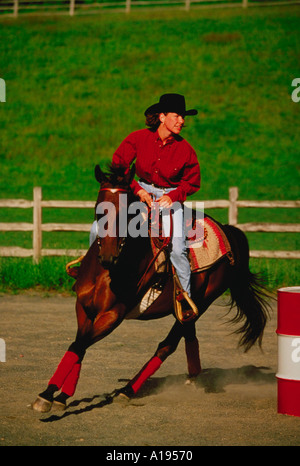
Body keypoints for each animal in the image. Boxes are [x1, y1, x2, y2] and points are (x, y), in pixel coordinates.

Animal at [31, 164, 270, 412]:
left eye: (128, 212)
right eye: (99, 209)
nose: (107, 255)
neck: (107, 271)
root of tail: (228, 231)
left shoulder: (112, 315)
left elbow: (80, 344)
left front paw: (47, 396)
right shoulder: (84, 308)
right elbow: (79, 344)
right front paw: (61, 395)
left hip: (203, 302)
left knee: (167, 346)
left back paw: (127, 390)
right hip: (186, 310)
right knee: (188, 336)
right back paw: (192, 378)